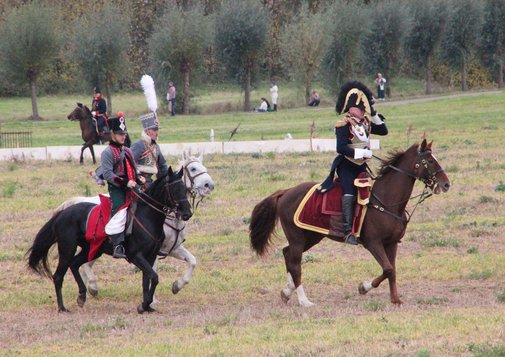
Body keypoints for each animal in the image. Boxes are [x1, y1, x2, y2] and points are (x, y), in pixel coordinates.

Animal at [28, 167, 193, 312]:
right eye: (175, 189)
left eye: (185, 189)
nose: (187, 213)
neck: (147, 217)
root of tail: (63, 213)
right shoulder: (136, 256)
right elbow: (154, 277)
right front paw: (145, 304)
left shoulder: (151, 256)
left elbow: (147, 280)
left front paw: (147, 306)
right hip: (67, 249)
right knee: (58, 276)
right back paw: (62, 307)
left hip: (92, 250)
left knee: (74, 264)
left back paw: (82, 296)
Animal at [56, 152, 214, 296]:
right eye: (193, 168)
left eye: (204, 167)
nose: (209, 185)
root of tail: (77, 202)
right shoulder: (151, 253)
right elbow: (152, 272)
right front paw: (152, 298)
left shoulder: (173, 248)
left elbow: (192, 261)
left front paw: (177, 286)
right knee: (85, 265)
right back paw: (92, 287)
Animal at [248, 139, 448, 306]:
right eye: (430, 161)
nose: (446, 184)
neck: (385, 201)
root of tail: (286, 192)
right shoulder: (373, 243)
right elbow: (388, 269)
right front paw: (364, 287)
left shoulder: (392, 243)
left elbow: (392, 270)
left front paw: (395, 299)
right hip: (298, 237)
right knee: (295, 264)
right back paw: (304, 301)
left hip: (311, 236)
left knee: (287, 253)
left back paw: (287, 292)